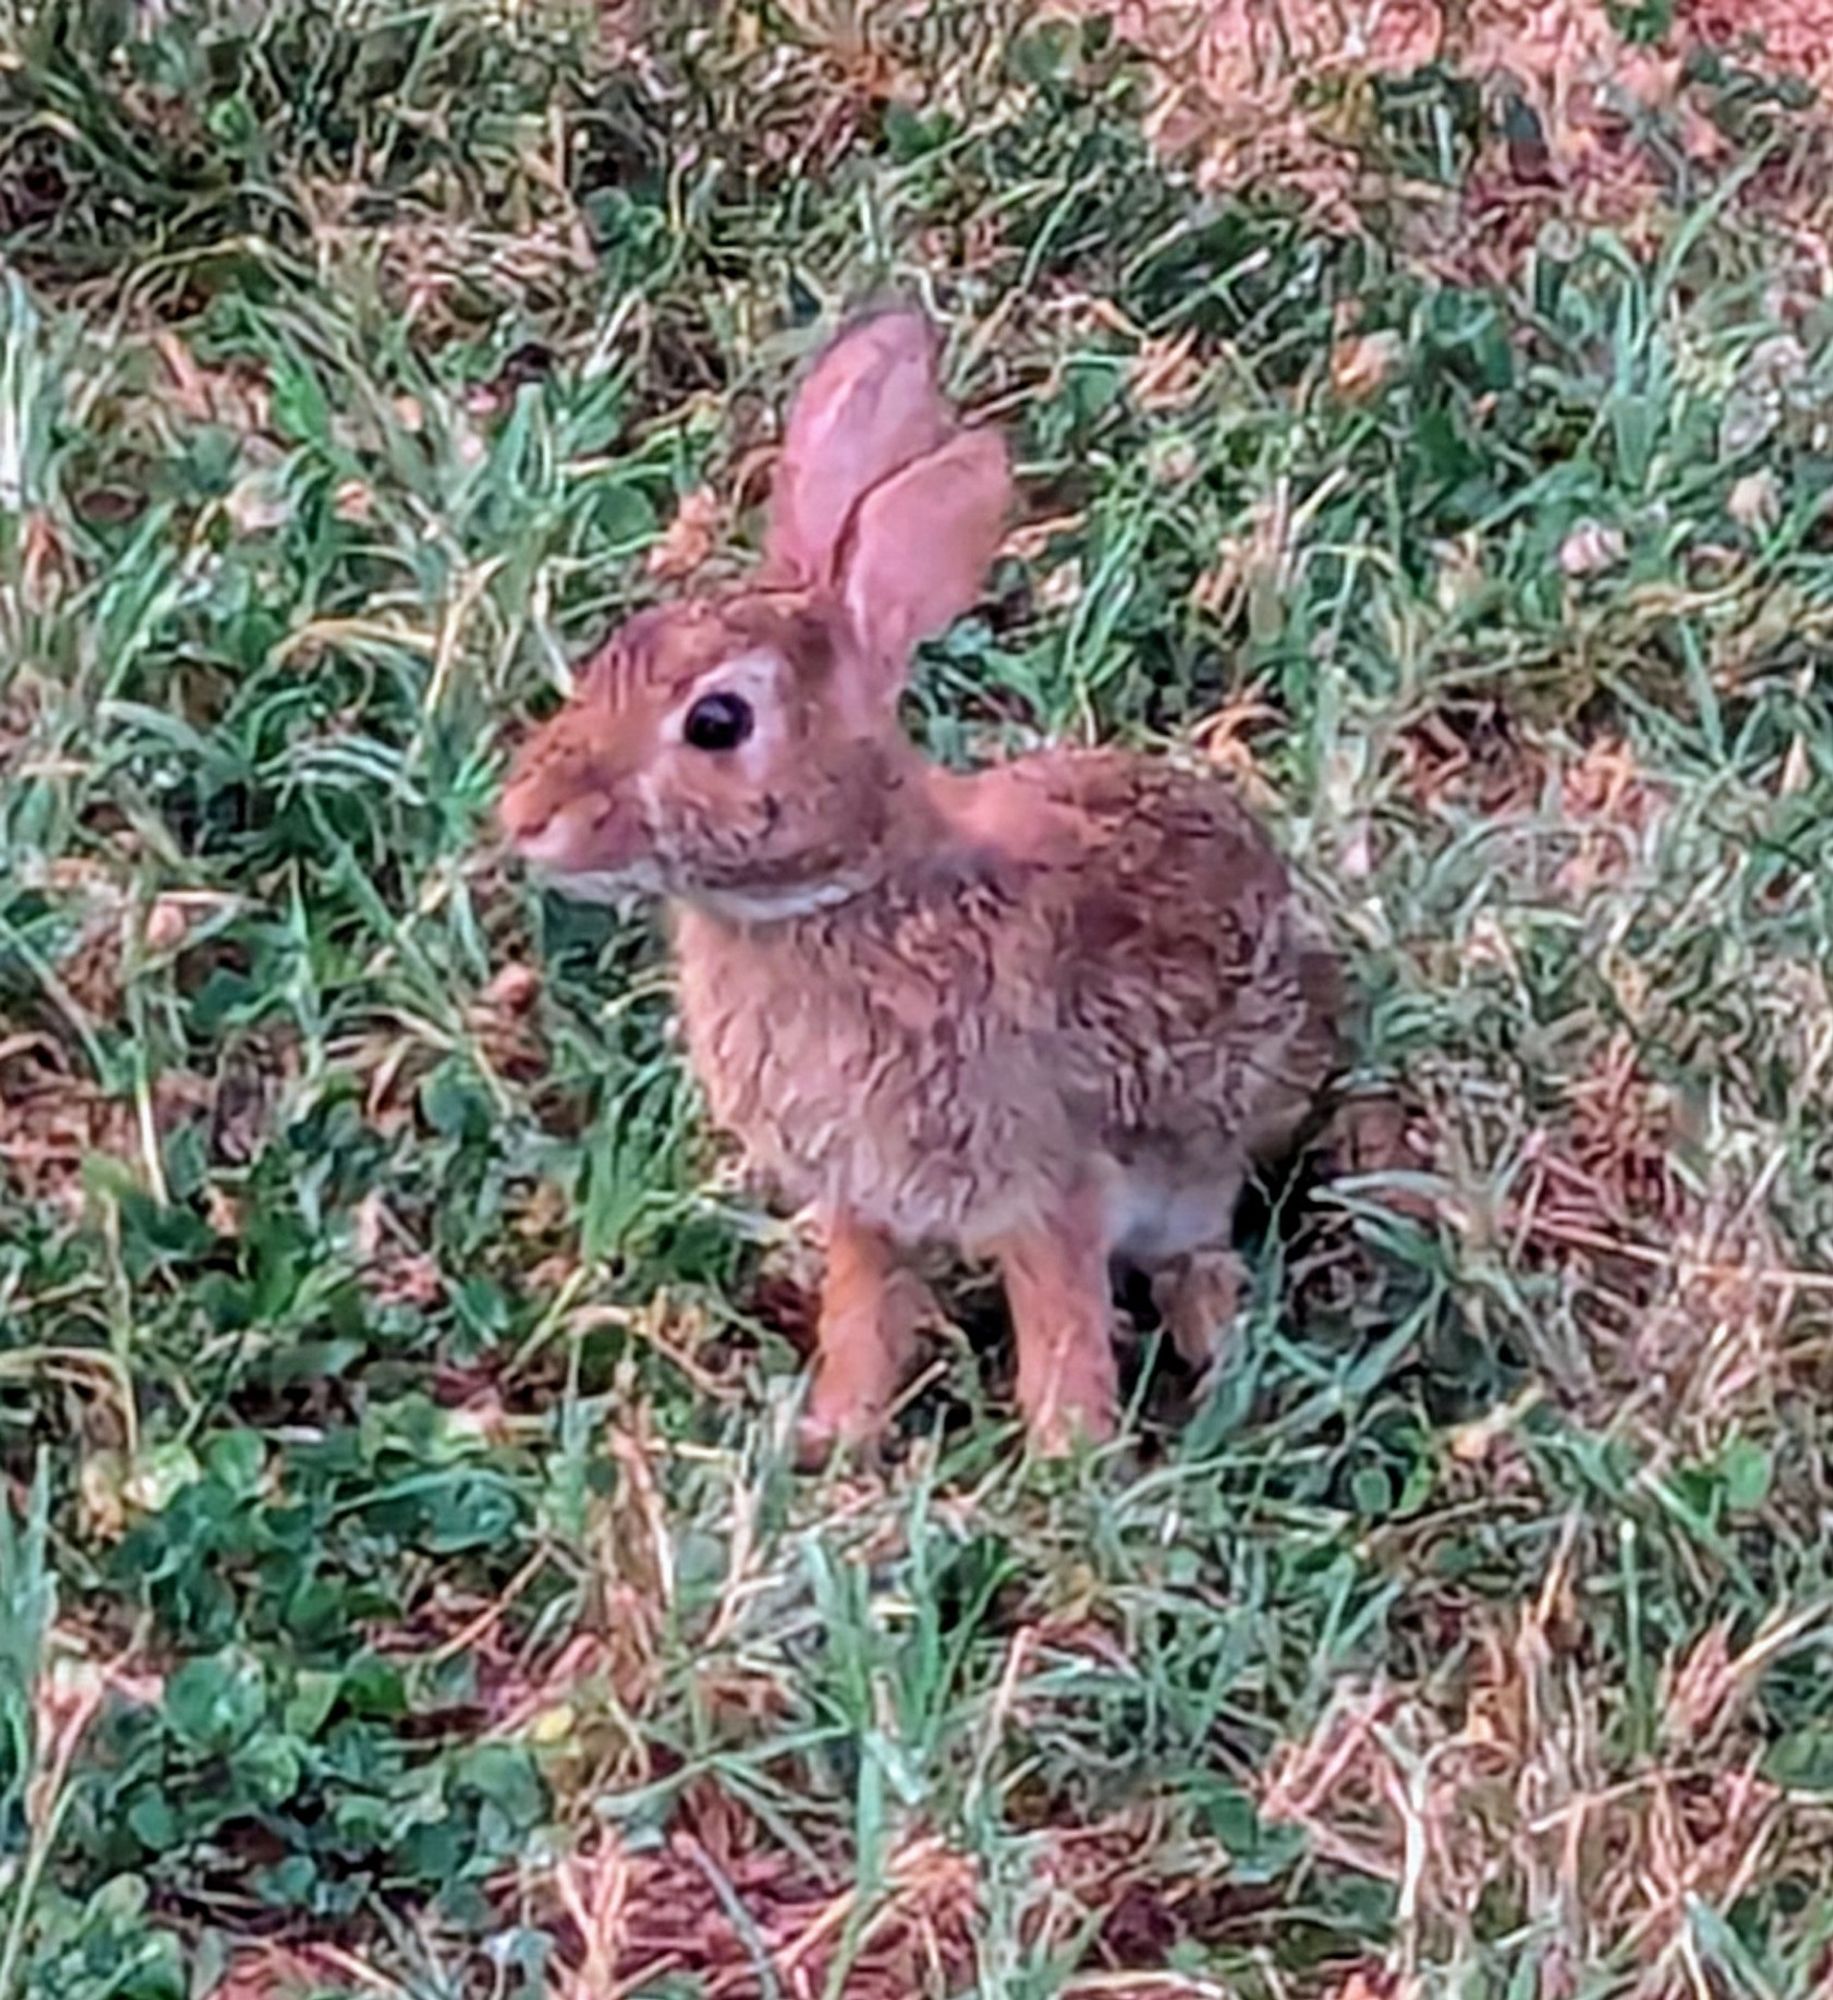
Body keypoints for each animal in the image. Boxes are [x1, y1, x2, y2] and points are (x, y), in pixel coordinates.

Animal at [494, 304, 1336, 1456]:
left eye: (717, 722)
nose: (525, 818)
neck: (849, 891)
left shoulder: (1048, 1188)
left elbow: (1061, 1331)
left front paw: (1066, 1460)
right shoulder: (863, 1199)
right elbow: (860, 1315)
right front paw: (836, 1438)